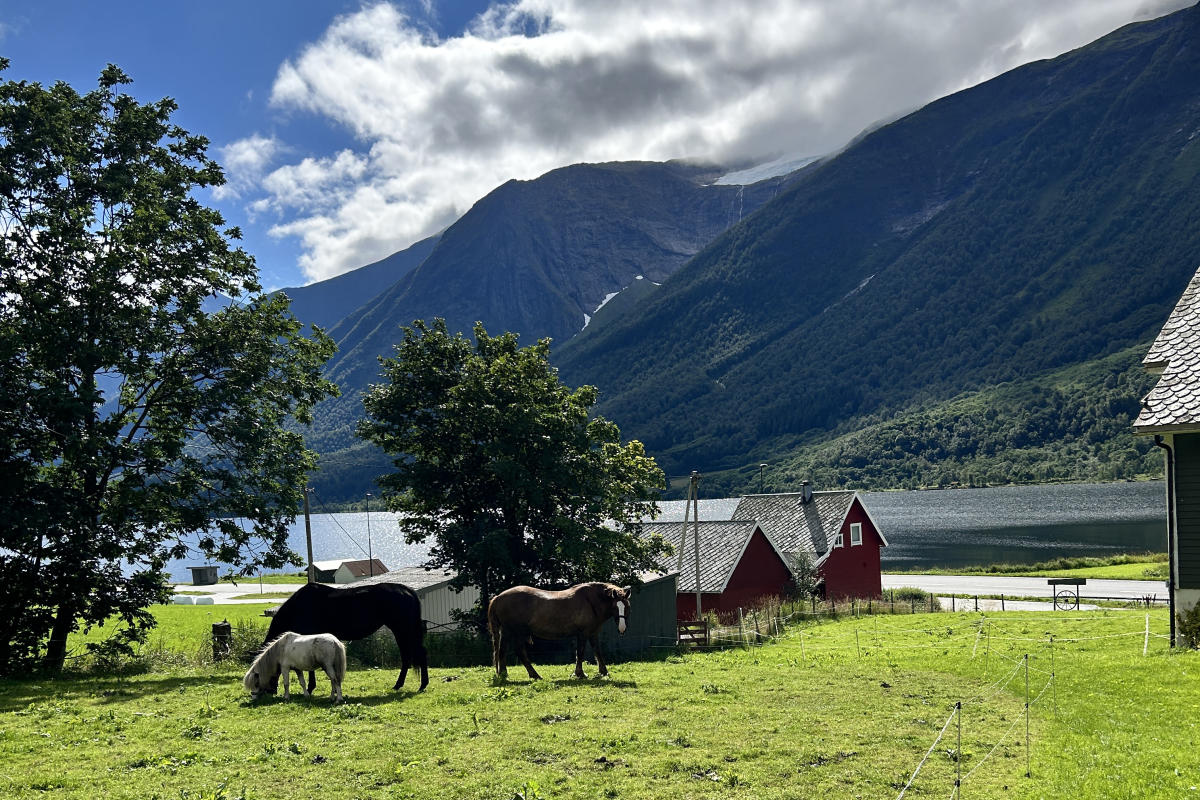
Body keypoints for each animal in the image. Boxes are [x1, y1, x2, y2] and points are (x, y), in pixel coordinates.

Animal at [262, 581, 429, 693]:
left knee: (418, 654)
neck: (298, 606)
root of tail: (407, 590)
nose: (270, 691)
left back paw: (421, 685)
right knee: (407, 656)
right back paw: (400, 685)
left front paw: (310, 688)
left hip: (403, 629)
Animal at [488, 582, 631, 681]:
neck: (590, 601)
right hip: (516, 632)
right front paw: (580, 673)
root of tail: (498, 597)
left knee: (504, 651)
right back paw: (532, 675)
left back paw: (506, 674)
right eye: (615, 606)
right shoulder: (583, 633)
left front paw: (603, 672)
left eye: (627, 606)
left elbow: (598, 652)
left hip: (509, 632)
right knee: (517, 652)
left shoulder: (593, 633)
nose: (622, 628)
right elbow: (580, 653)